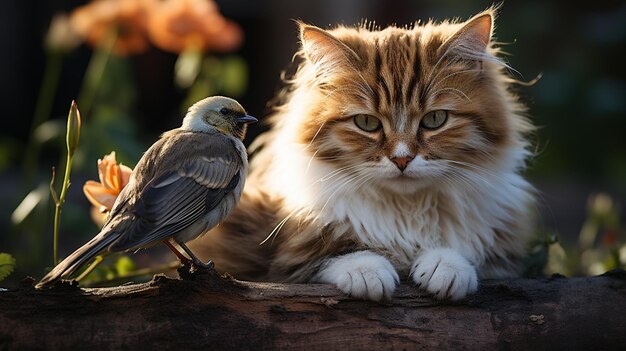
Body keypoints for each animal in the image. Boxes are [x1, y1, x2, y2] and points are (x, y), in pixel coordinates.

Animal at [189, 6, 532, 302]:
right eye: (367, 123)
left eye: (435, 119)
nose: (402, 159)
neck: (405, 211)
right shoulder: (269, 247)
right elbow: (324, 258)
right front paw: (367, 271)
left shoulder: (504, 259)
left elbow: (465, 254)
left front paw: (445, 266)